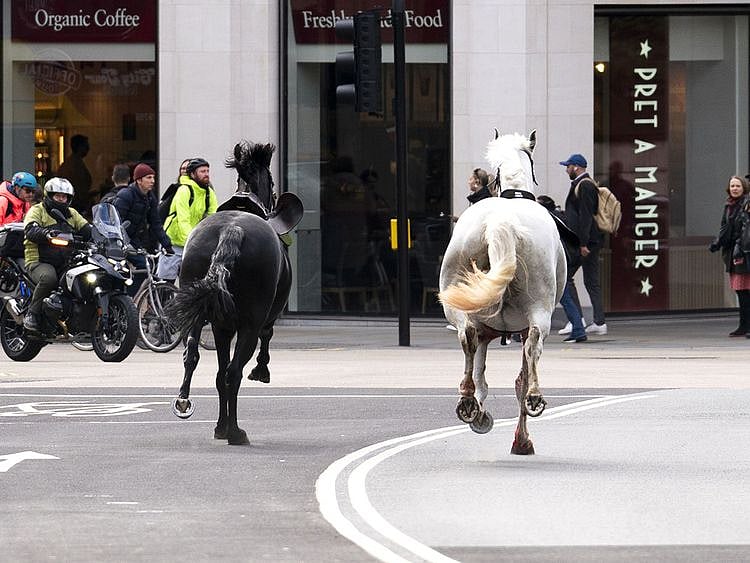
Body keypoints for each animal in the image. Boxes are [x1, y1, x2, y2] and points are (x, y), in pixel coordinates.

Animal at [167, 140, 295, 445]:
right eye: (272, 181)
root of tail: (232, 230)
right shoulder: (262, 318)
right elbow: (265, 337)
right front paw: (261, 370)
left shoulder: (221, 328)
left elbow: (217, 372)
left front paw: (219, 425)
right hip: (249, 323)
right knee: (234, 372)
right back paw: (236, 432)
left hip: (200, 313)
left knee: (196, 358)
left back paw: (193, 406)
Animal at [438, 129, 566, 455]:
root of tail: (501, 222)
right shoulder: (517, 329)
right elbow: (519, 375)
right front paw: (521, 439)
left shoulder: (485, 331)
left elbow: (480, 372)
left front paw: (479, 412)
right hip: (538, 310)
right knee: (533, 348)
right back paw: (534, 398)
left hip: (458, 305)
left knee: (467, 338)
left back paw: (467, 401)